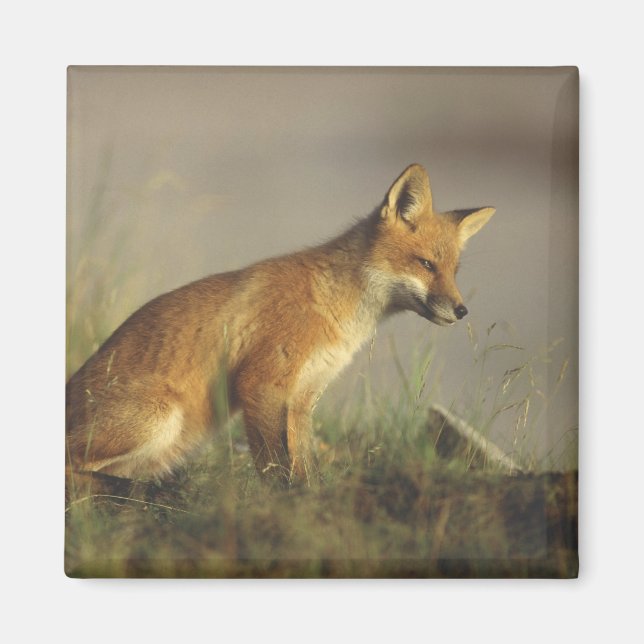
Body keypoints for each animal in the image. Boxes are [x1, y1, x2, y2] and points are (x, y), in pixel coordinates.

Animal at [66, 163, 495, 487]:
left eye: (454, 271)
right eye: (426, 265)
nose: (462, 311)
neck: (332, 304)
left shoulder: (303, 398)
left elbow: (305, 467)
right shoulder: (261, 384)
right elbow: (276, 468)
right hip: (160, 419)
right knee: (74, 468)